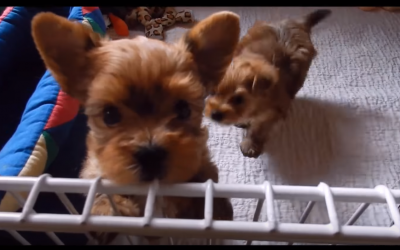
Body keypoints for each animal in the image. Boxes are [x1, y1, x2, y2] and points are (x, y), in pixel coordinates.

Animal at [32, 10, 241, 243]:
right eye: (109, 115)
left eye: (183, 109)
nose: (151, 153)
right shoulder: (97, 166)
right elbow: (101, 183)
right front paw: (106, 210)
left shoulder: (200, 157)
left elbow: (206, 175)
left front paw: (217, 207)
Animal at [205, 9, 332, 159]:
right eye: (213, 92)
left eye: (239, 99)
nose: (214, 114)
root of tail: (294, 22)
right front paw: (243, 121)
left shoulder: (269, 114)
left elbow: (257, 130)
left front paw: (250, 144)